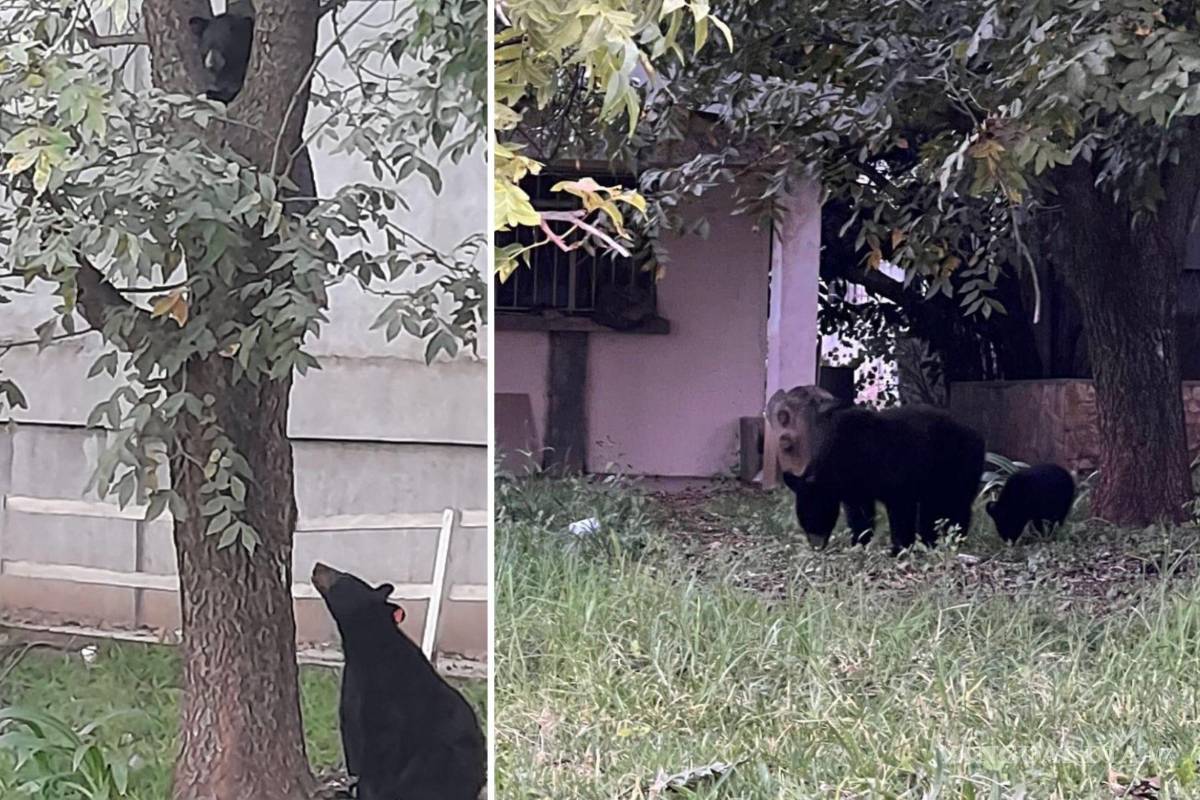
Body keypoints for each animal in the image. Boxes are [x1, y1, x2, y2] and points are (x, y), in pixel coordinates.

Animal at [311, 562, 485, 800]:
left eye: (344, 576)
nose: (318, 566)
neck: (367, 651)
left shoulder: (391, 700)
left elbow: (383, 747)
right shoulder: (353, 693)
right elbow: (352, 743)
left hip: (449, 757)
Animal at [768, 385, 985, 555]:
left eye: (816, 520)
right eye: (804, 524)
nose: (816, 546)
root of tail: (976, 434)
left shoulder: (893, 471)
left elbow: (900, 507)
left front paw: (899, 548)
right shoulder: (855, 486)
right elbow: (860, 512)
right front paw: (858, 543)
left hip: (957, 465)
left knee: (953, 503)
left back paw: (952, 539)